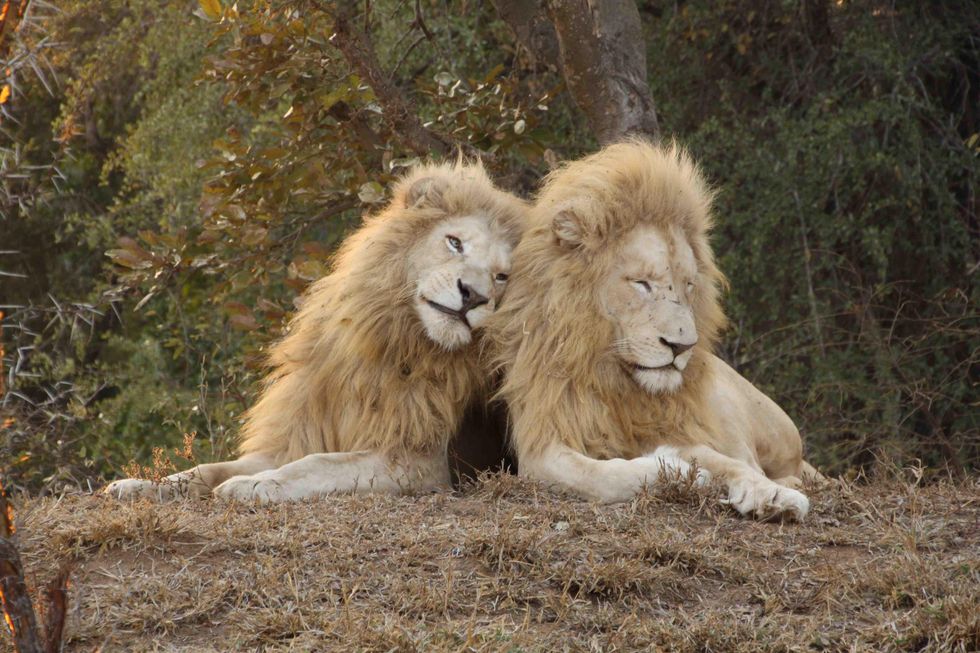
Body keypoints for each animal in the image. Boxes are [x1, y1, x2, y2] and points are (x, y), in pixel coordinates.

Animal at [106, 160, 526, 503]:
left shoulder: (419, 462)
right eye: (454, 242)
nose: (473, 296)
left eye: (502, 276)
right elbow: (209, 468)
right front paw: (140, 485)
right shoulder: (298, 434)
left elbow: (317, 464)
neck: (395, 340)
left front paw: (256, 485)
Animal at [490, 140, 821, 521]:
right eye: (642, 283)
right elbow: (602, 475)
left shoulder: (675, 427)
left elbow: (730, 463)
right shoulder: (542, 447)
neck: (616, 382)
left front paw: (773, 496)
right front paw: (675, 469)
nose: (682, 346)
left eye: (689, 285)